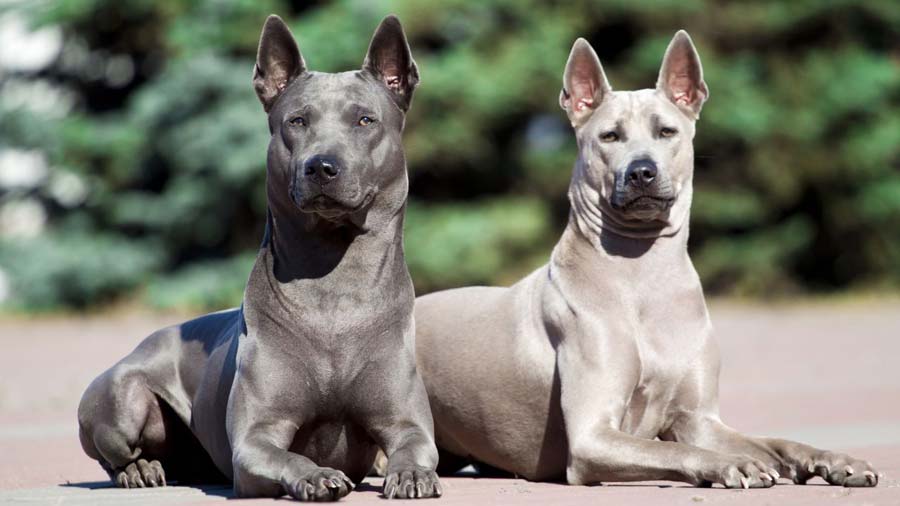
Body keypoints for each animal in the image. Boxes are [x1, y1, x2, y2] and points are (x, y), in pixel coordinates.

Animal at [80, 13, 440, 500]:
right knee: (115, 452)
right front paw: (317, 475)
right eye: (297, 121)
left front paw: (412, 474)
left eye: (365, 120)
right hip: (122, 396)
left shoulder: (406, 422)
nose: (321, 166)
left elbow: (416, 446)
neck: (336, 287)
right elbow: (286, 455)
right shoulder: (255, 438)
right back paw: (140, 470)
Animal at [414, 32, 880, 490]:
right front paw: (732, 465)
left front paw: (833, 461)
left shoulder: (699, 419)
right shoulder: (592, 436)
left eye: (666, 131)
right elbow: (673, 451)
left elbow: (776, 442)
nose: (641, 172)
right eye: (609, 136)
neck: (642, 275)